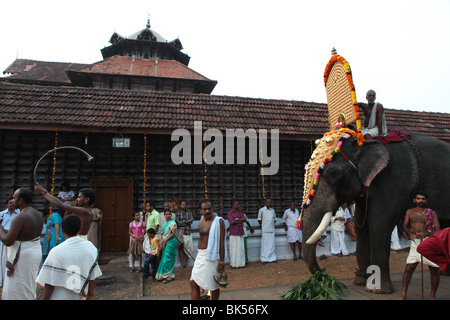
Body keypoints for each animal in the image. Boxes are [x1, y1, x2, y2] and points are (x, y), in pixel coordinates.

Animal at [300, 130, 450, 292]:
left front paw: (378, 289)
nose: (324, 274)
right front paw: (360, 281)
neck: (366, 143)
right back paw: (444, 273)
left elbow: (379, 225)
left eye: (332, 173)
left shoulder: (394, 181)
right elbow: (361, 227)